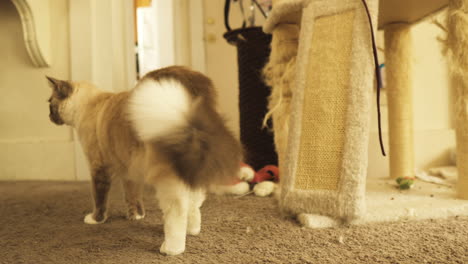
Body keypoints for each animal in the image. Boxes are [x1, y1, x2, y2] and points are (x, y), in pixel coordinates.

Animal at [45, 65, 243, 255]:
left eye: (49, 104)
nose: (49, 117)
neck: (91, 104)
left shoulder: (99, 168)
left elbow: (99, 199)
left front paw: (95, 220)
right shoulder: (129, 168)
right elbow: (133, 196)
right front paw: (136, 216)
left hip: (167, 176)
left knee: (178, 209)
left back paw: (171, 249)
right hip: (191, 166)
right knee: (194, 202)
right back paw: (192, 231)